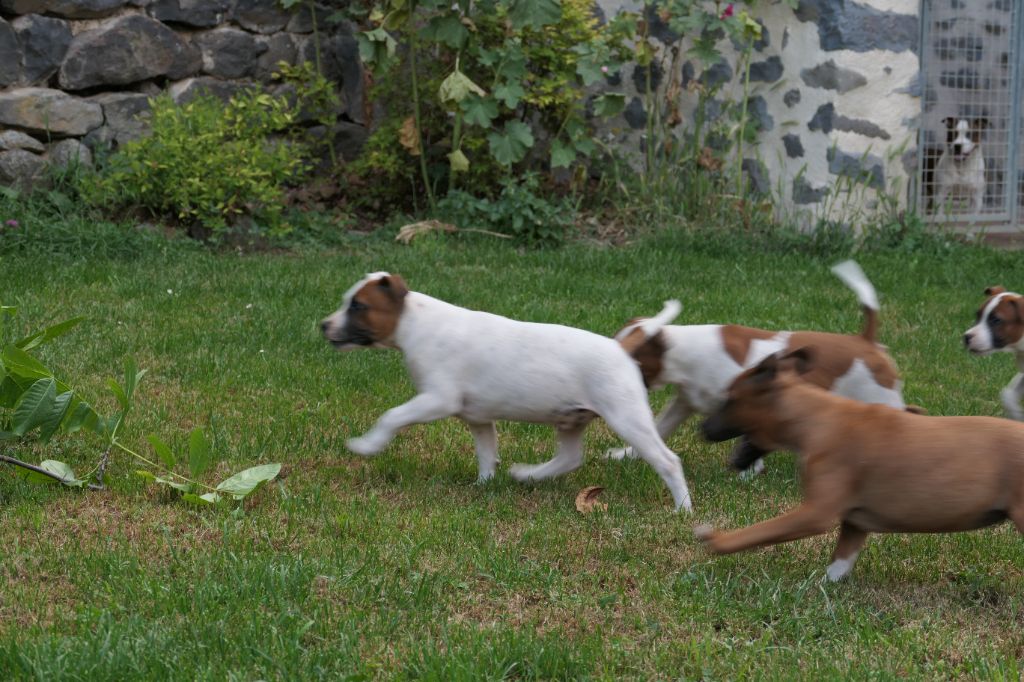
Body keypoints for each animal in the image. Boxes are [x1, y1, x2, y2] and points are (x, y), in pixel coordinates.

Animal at [321, 270, 696, 509]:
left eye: (358, 306)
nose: (324, 325)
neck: (414, 322)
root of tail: (619, 348)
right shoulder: (478, 418)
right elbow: (486, 453)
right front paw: (484, 485)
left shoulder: (436, 400)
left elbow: (392, 416)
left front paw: (366, 445)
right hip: (571, 419)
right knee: (570, 458)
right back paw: (528, 475)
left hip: (627, 418)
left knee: (667, 461)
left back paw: (683, 509)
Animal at [606, 260, 905, 473]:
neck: (684, 350)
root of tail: (865, 341)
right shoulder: (684, 403)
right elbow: (659, 428)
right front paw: (625, 455)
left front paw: (747, 471)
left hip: (883, 398)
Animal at [696, 350, 1024, 577]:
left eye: (729, 399)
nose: (702, 429)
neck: (814, 416)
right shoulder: (854, 523)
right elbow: (837, 567)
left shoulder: (815, 513)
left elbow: (755, 532)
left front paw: (715, 540)